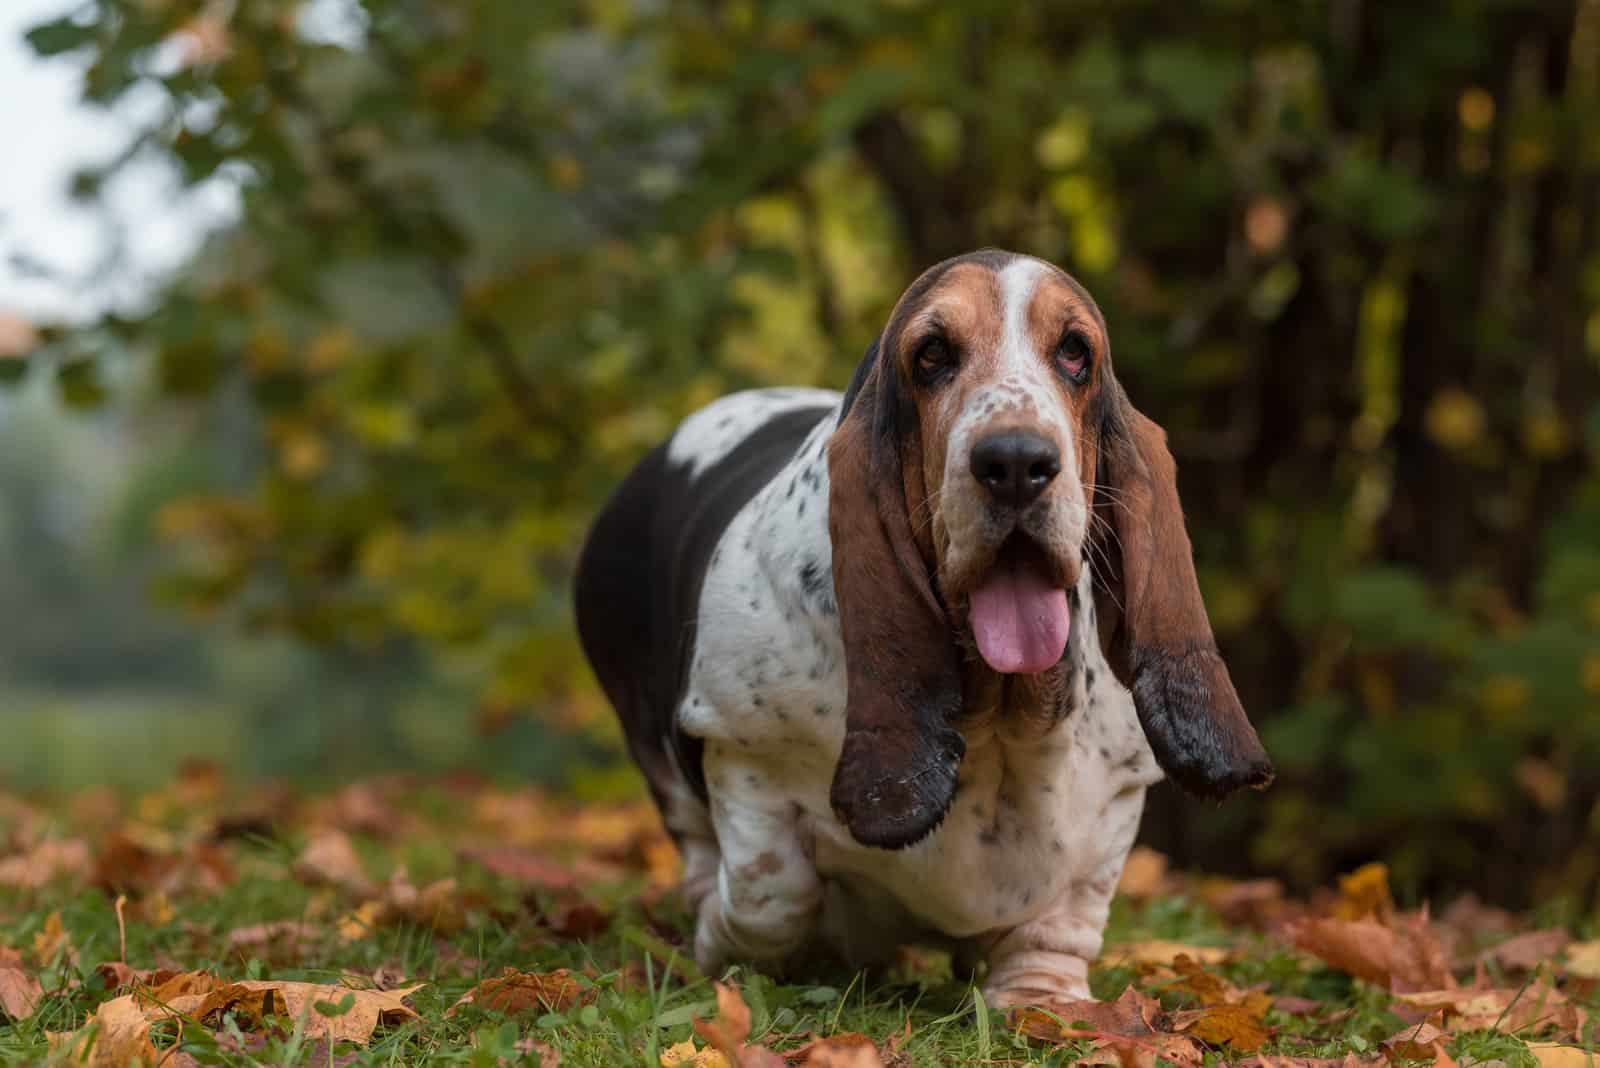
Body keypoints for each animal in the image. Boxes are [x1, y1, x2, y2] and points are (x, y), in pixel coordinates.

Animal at [576, 246, 1273, 1004]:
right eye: (932, 354)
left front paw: (1040, 998)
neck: (996, 714)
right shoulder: (739, 748)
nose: (1016, 462)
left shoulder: (1117, 795)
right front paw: (723, 943)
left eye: (1075, 352)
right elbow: (773, 893)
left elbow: (1065, 916)